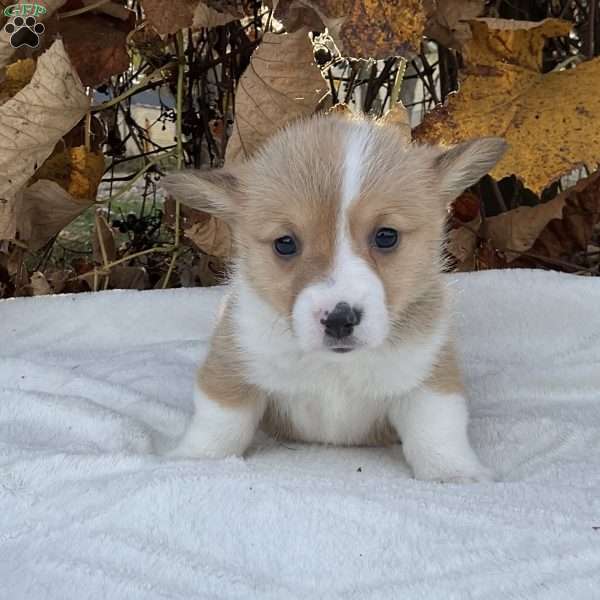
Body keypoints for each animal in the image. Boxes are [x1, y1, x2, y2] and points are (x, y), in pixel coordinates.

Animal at [163, 113, 506, 482]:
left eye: (386, 236)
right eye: (285, 243)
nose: (340, 320)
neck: (335, 366)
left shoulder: (428, 374)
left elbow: (438, 428)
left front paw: (455, 473)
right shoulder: (233, 361)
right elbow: (219, 421)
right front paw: (194, 460)